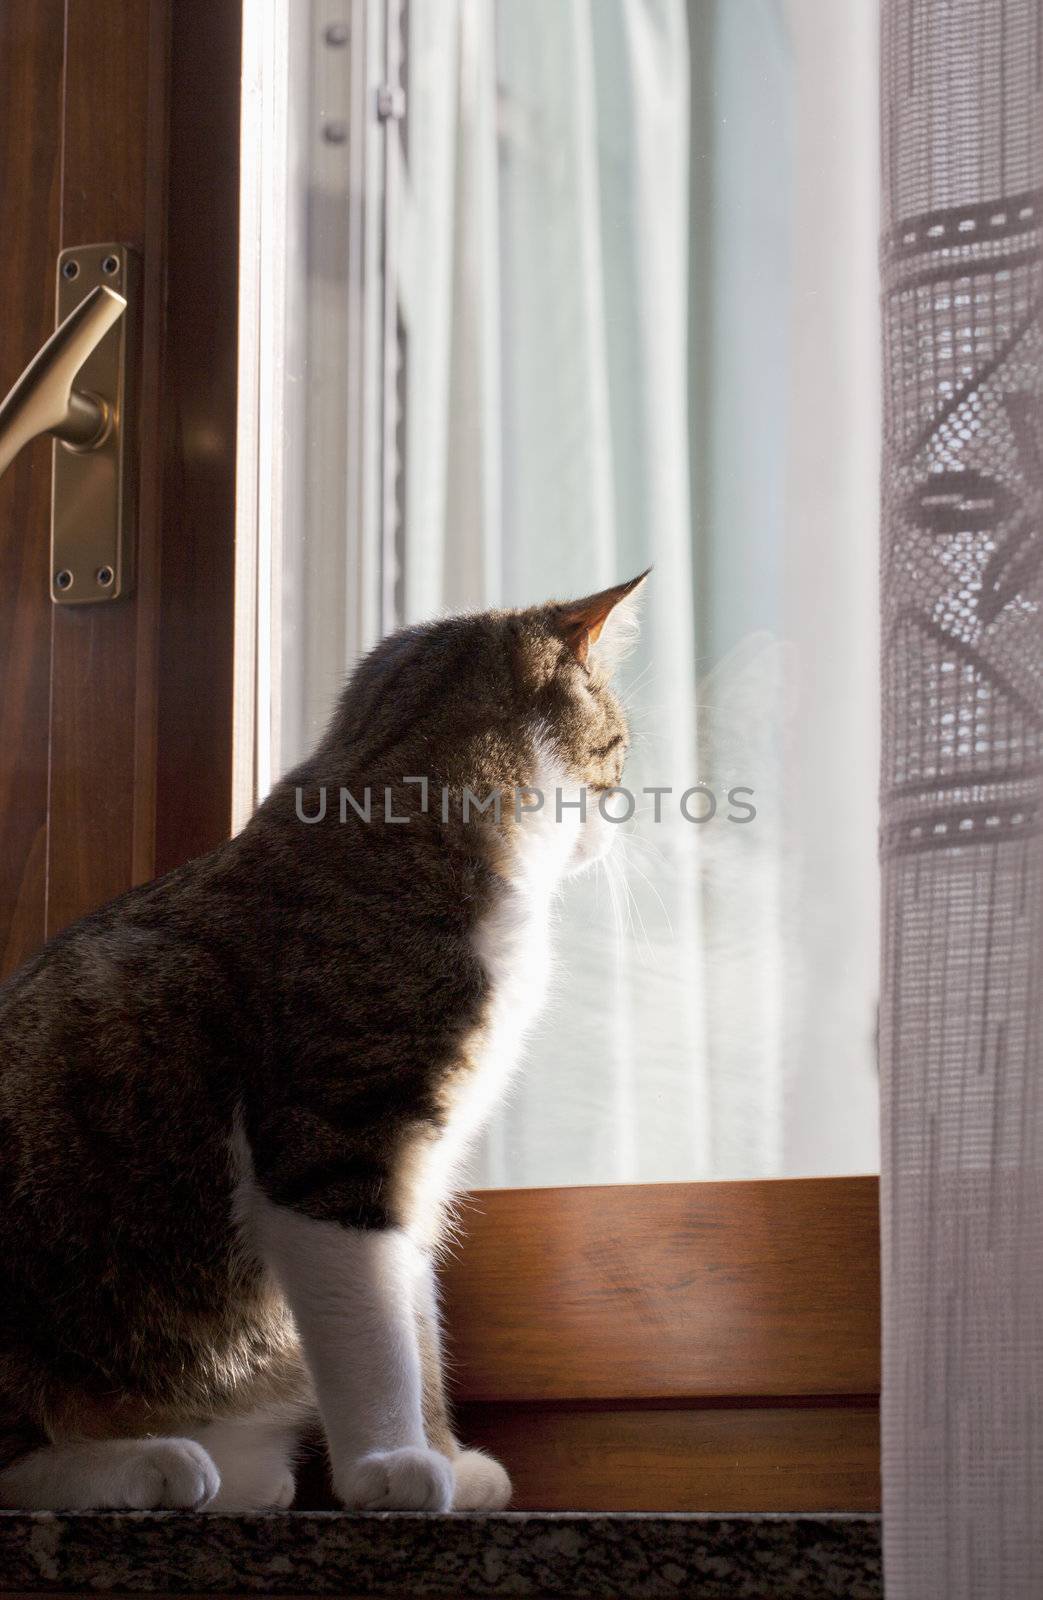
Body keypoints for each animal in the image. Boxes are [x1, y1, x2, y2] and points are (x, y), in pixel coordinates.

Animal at [0, 576, 646, 1510]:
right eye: (620, 749)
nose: (620, 816)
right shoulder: (335, 1143)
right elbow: (371, 1330)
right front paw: (389, 1466)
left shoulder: (420, 1168)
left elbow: (417, 1322)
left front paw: (447, 1457)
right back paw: (149, 1464)